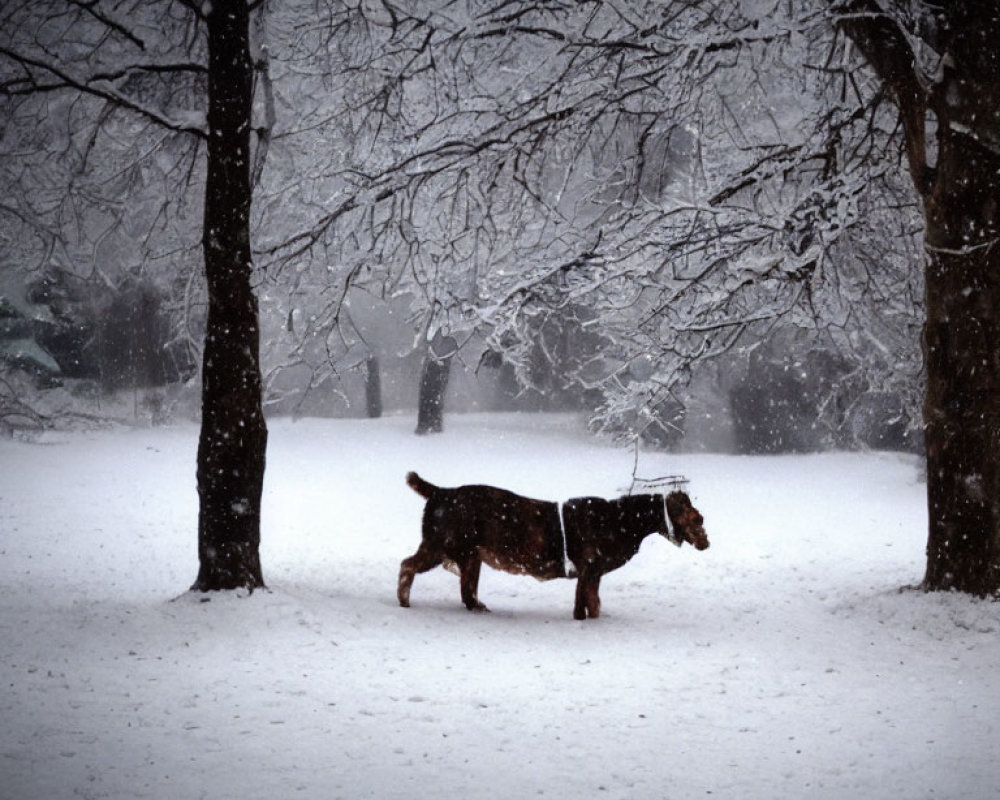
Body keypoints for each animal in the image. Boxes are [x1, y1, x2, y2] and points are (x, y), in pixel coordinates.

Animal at [394, 472, 708, 620]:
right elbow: (581, 609)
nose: (706, 541)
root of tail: (439, 492)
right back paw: (404, 602)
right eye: (697, 517)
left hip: (471, 557)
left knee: (468, 594)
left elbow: (594, 606)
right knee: (406, 566)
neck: (622, 521)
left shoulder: (594, 575)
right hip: (440, 547)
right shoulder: (588, 571)